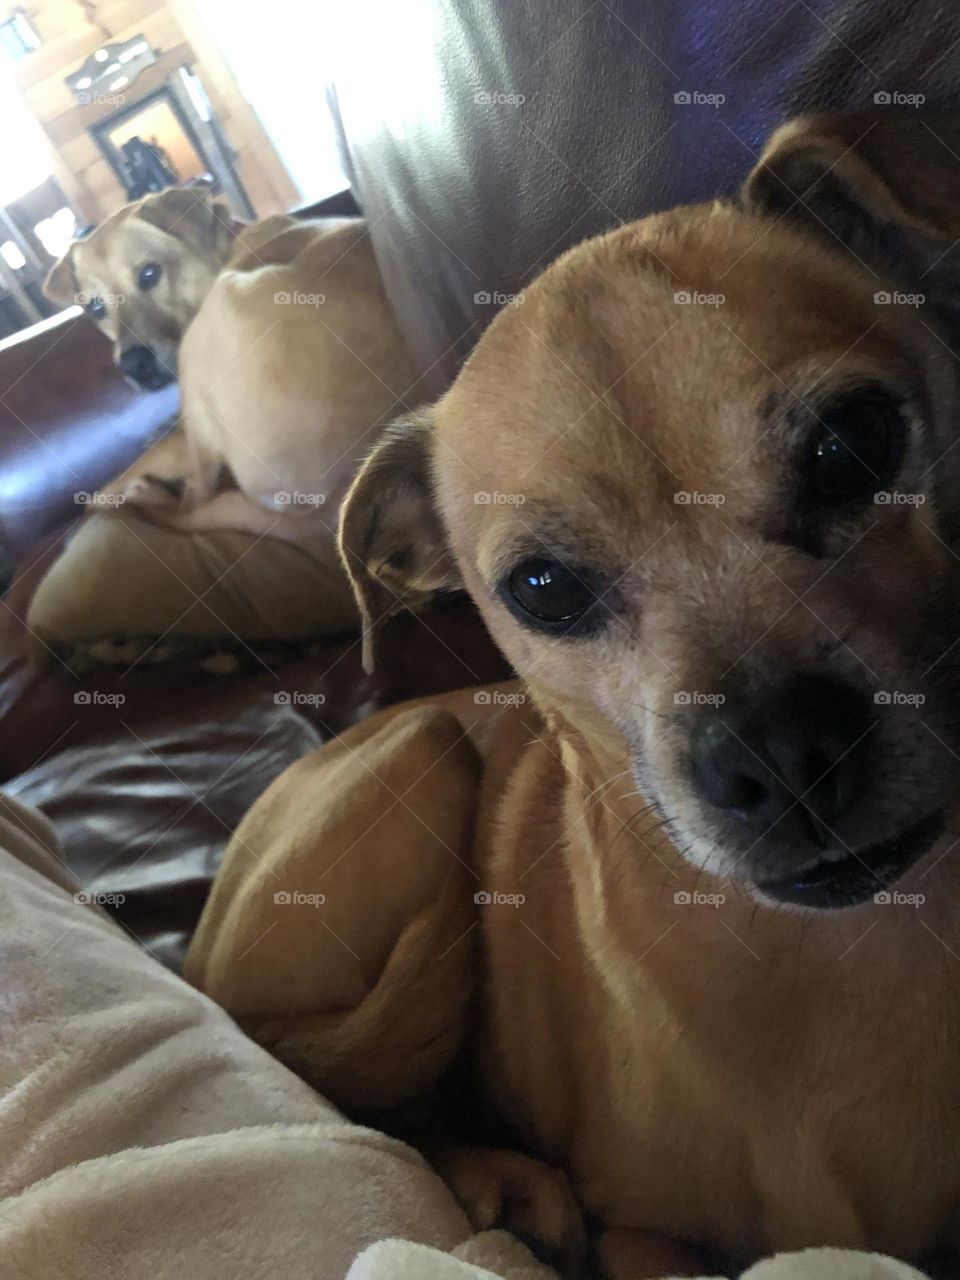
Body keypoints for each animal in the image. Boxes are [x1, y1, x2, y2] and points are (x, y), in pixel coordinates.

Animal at [185, 112, 960, 1280]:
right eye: (544, 589)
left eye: (851, 442)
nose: (779, 752)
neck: (836, 954)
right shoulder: (642, 1237)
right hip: (417, 754)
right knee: (347, 1093)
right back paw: (498, 1180)